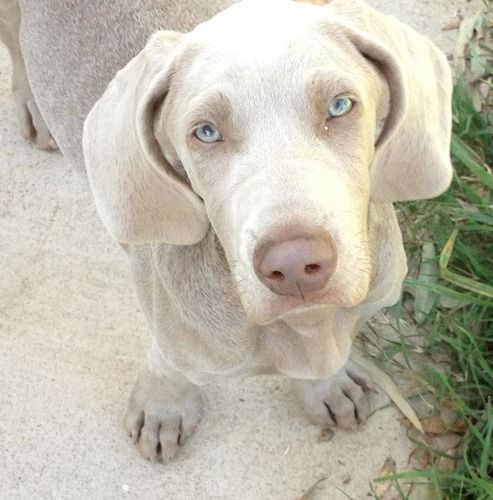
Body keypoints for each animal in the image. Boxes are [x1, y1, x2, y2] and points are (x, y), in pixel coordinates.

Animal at [0, 0, 452, 462]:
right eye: (206, 132)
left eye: (340, 106)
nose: (294, 264)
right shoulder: (172, 334)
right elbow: (167, 365)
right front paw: (163, 408)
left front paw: (327, 386)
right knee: (15, 42)